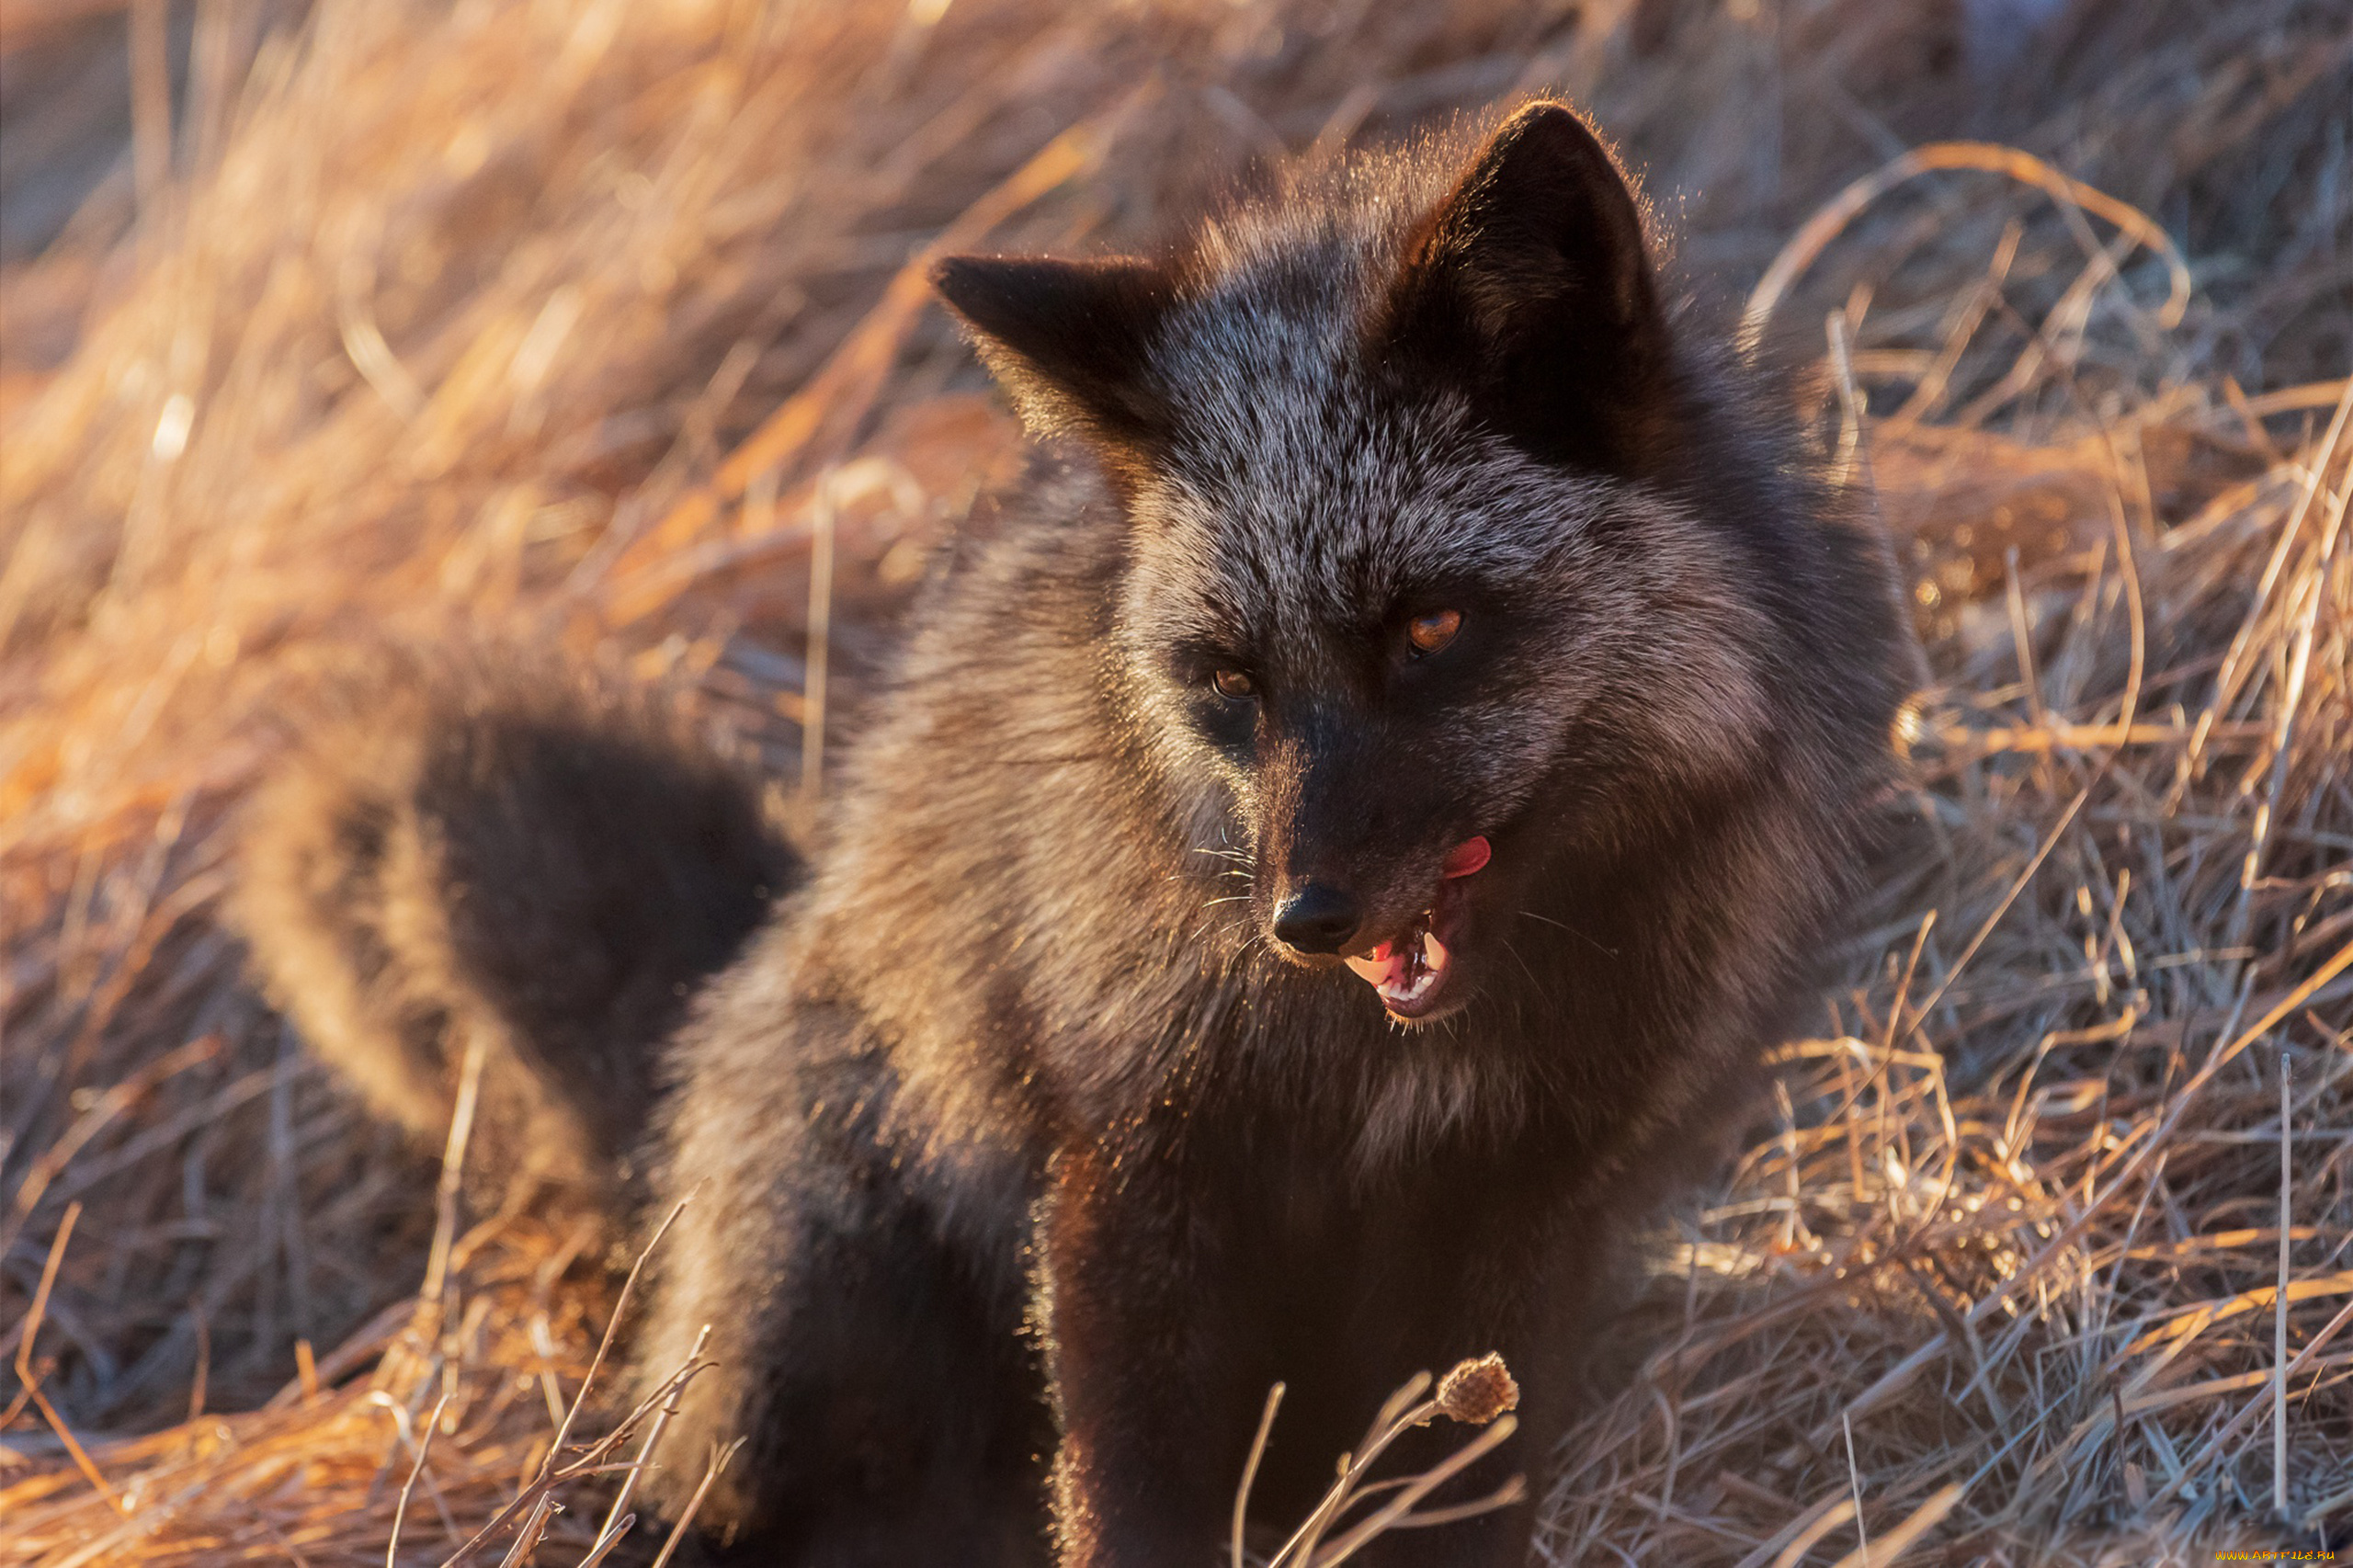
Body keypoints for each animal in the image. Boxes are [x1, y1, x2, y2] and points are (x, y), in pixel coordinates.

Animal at [235, 102, 1913, 1565]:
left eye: (1432, 628)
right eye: (1228, 679)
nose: (1304, 919)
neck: (1376, 1076)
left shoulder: (1521, 1219)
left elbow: (1458, 1495)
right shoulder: (1128, 1170)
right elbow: (1126, 1498)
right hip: (819, 1343)